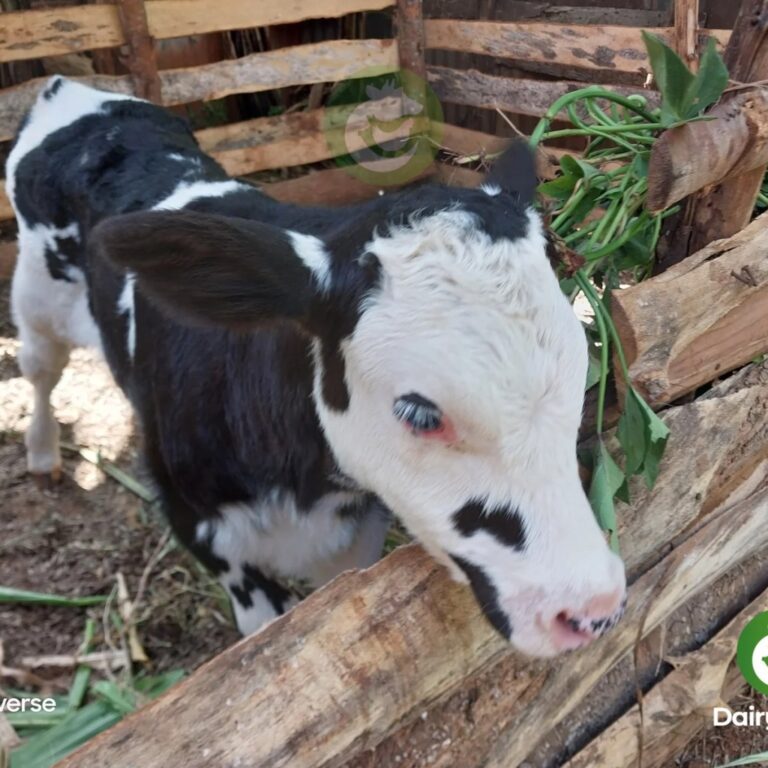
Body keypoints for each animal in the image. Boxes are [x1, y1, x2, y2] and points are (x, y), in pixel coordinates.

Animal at [9, 76, 628, 656]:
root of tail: (76, 91)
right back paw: (41, 454)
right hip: (37, 299)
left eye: (580, 371)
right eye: (419, 413)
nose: (592, 608)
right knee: (40, 372)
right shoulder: (205, 531)